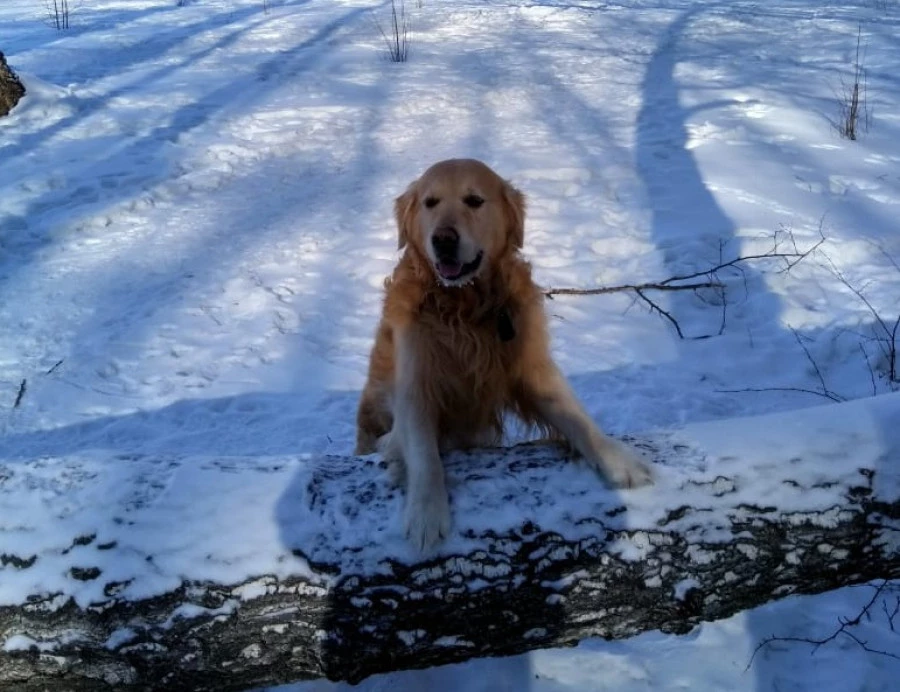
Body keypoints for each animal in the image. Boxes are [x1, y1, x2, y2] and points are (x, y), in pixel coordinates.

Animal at [356, 158, 652, 552]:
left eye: (474, 200)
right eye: (430, 203)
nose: (443, 239)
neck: (464, 306)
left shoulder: (532, 369)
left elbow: (579, 419)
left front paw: (620, 460)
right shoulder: (416, 383)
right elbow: (424, 455)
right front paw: (425, 514)